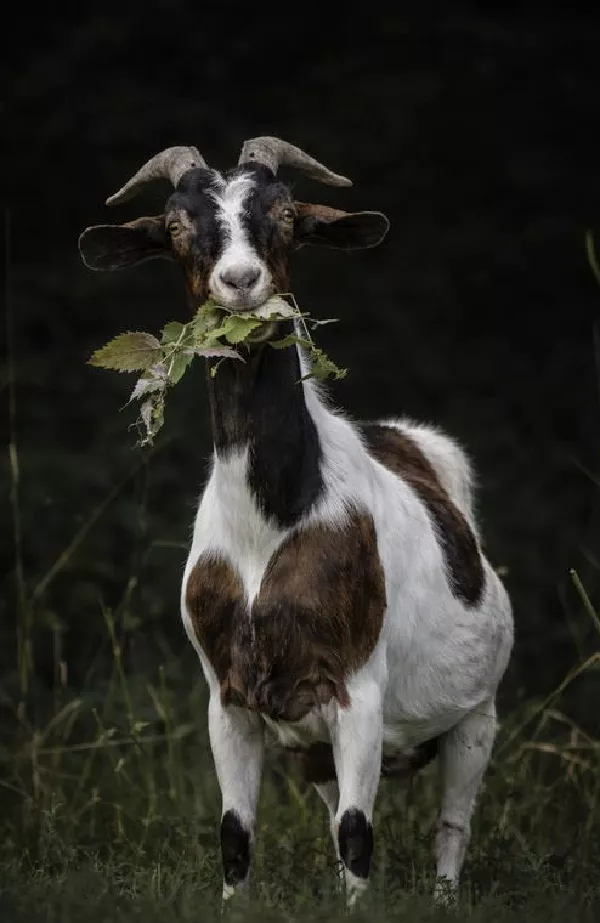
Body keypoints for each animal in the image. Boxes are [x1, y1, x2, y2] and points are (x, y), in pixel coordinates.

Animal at [79, 136, 514, 908]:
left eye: (284, 213)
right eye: (177, 224)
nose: (241, 281)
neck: (270, 526)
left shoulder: (357, 689)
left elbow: (358, 834)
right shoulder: (227, 696)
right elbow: (236, 833)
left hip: (476, 712)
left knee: (451, 826)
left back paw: (444, 897)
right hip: (313, 746)